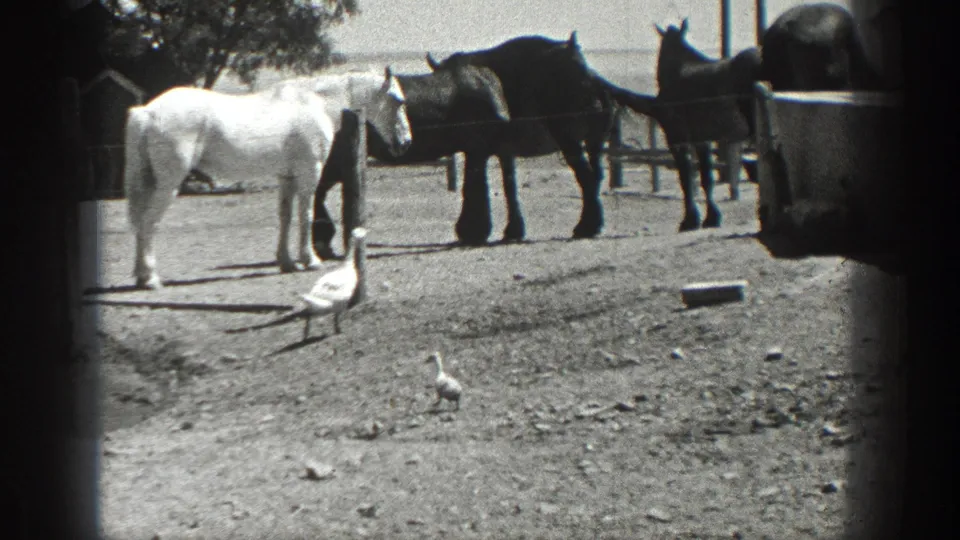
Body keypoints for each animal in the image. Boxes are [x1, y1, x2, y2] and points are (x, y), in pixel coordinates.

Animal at [123, 67, 411, 289]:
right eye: (398, 100)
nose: (406, 142)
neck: (314, 103)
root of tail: (146, 112)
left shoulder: (286, 177)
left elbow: (286, 217)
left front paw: (286, 262)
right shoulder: (309, 173)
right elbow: (306, 215)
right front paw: (310, 260)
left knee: (139, 223)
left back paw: (140, 276)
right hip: (167, 185)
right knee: (148, 223)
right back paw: (150, 278)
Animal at [420, 32, 657, 246]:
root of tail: (590, 78)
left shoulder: (480, 145)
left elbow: (478, 179)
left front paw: (473, 230)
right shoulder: (504, 149)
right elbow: (509, 184)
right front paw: (512, 230)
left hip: (568, 138)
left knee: (586, 176)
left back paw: (585, 227)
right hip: (595, 139)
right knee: (595, 175)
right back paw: (592, 223)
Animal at [653, 18, 762, 232]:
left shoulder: (677, 139)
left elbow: (686, 178)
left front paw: (689, 220)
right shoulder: (701, 140)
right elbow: (706, 178)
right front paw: (711, 218)